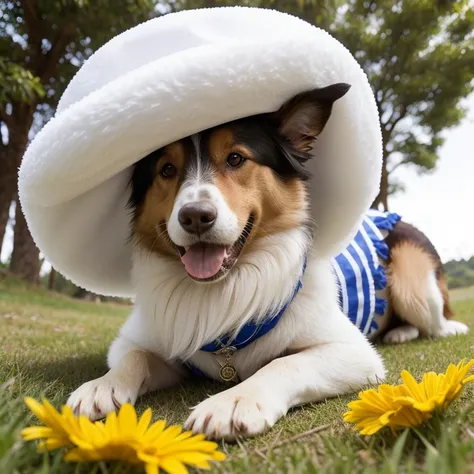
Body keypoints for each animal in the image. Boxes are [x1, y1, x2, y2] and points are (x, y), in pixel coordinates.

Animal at [67, 82, 470, 440]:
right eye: (166, 169)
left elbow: (285, 361)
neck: (222, 291)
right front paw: (101, 386)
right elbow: (133, 357)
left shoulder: (354, 353)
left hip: (414, 284)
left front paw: (235, 400)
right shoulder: (142, 342)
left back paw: (415, 331)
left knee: (437, 323)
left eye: (236, 158)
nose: (195, 217)